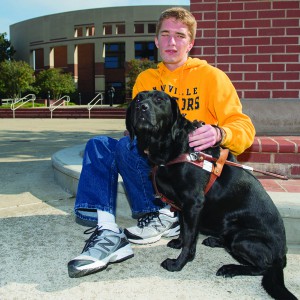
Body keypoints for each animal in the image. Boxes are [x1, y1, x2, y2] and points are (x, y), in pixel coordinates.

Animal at [125, 89, 296, 300]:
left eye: (159, 99)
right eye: (138, 98)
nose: (142, 107)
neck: (173, 146)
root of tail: (282, 255)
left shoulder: (193, 203)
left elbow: (190, 238)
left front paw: (178, 264)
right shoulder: (184, 207)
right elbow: (184, 230)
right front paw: (178, 243)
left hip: (242, 238)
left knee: (262, 267)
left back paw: (230, 268)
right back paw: (216, 240)